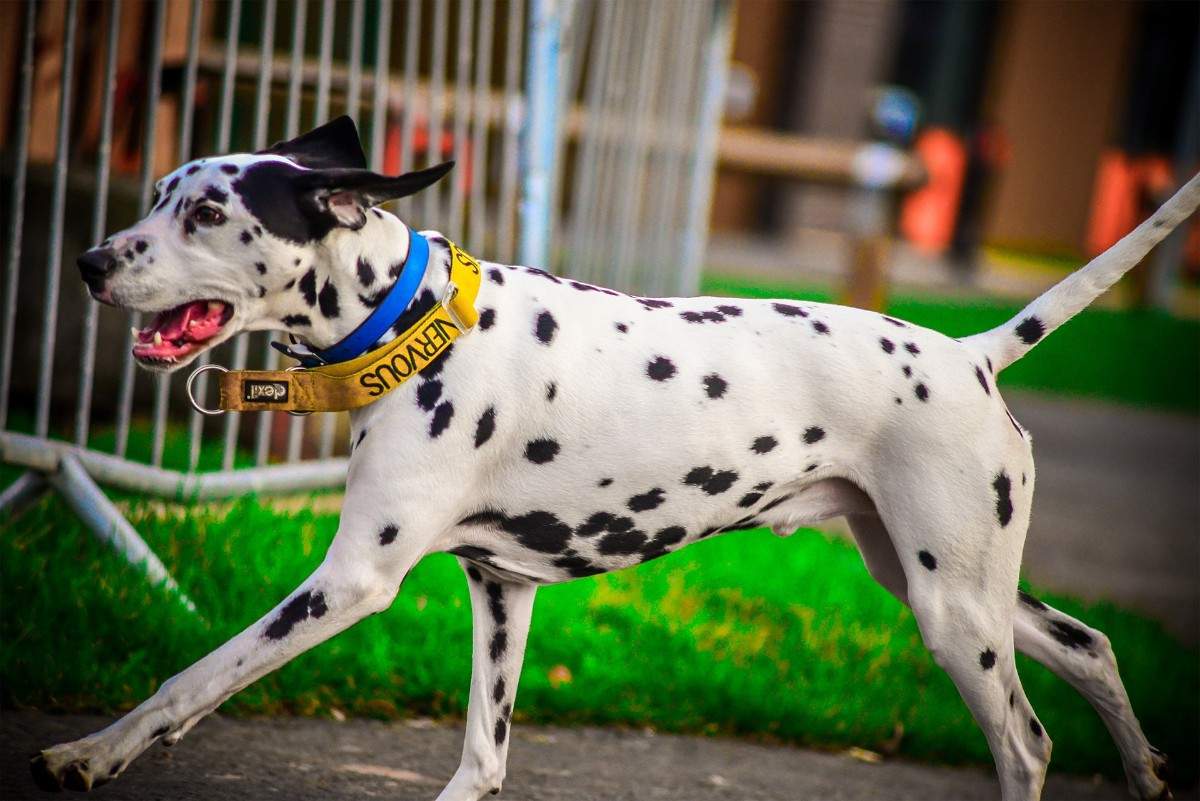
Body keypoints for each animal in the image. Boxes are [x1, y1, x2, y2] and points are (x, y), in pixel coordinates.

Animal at [32, 113, 1195, 801]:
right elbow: (484, 759)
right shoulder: (501, 591)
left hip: (953, 613)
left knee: (1027, 744)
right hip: (941, 583)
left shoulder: (352, 579)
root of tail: (972, 352)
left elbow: (192, 677)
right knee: (1092, 645)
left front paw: (89, 752)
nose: (88, 261)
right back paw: (1146, 773)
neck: (417, 324)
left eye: (207, 210)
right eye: (158, 193)